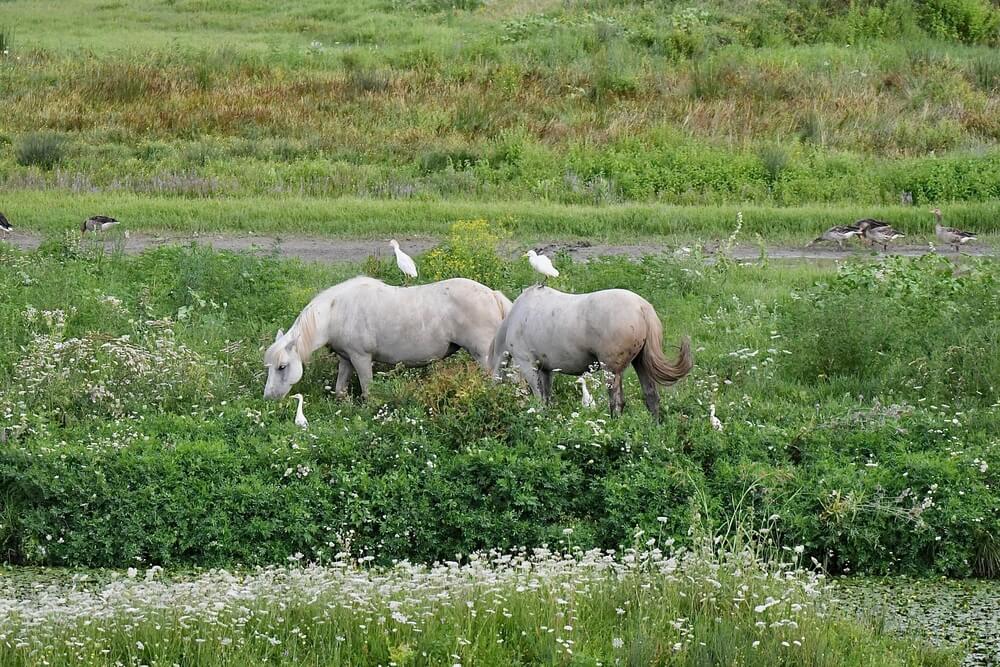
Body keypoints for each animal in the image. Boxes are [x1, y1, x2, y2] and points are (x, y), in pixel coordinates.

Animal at [262, 278, 512, 402]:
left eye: (282, 366)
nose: (268, 398)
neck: (335, 312)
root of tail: (493, 295)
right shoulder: (346, 359)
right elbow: (340, 389)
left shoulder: (361, 358)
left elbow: (368, 392)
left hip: (484, 357)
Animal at [490, 286, 692, 418]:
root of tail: (643, 308)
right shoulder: (546, 370)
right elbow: (547, 399)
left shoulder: (528, 364)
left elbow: (540, 400)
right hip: (641, 363)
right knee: (651, 397)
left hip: (611, 370)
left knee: (617, 402)